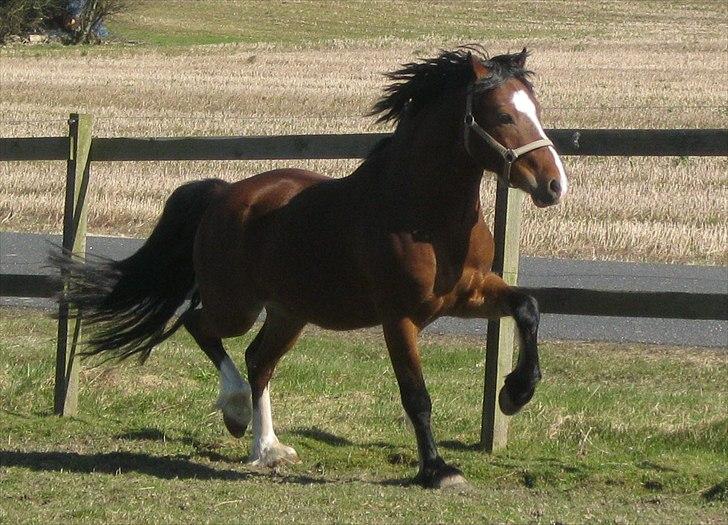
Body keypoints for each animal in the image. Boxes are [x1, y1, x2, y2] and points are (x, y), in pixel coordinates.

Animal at [54, 47, 568, 490]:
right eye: (503, 115)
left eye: (537, 110)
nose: (554, 185)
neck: (424, 214)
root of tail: (223, 194)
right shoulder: (399, 316)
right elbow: (416, 395)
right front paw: (438, 471)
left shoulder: (468, 293)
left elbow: (528, 306)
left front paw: (515, 393)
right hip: (236, 305)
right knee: (198, 325)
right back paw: (235, 412)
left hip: (290, 312)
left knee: (258, 359)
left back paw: (267, 449)